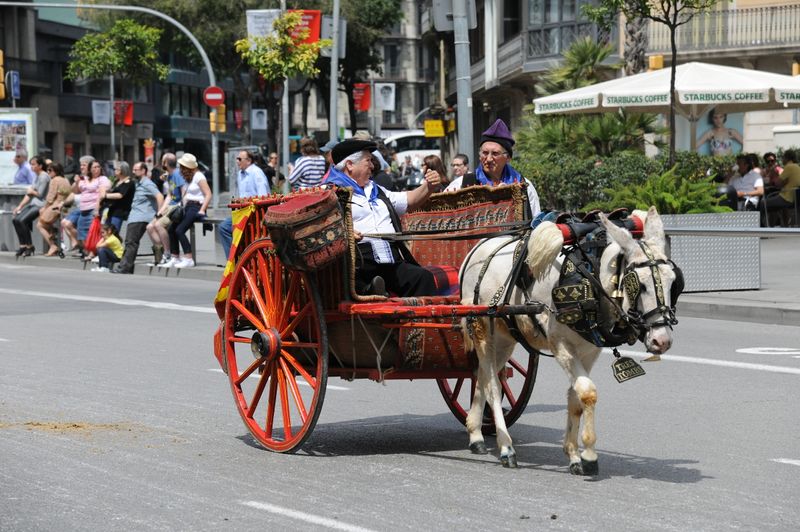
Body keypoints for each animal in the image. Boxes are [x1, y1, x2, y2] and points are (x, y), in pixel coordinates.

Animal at [460, 208, 680, 474]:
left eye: (673, 282)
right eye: (640, 284)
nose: (661, 340)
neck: (590, 279)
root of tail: (477, 248)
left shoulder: (589, 350)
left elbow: (575, 398)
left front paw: (574, 453)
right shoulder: (561, 346)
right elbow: (588, 392)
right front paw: (589, 454)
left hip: (505, 339)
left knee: (482, 377)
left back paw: (475, 434)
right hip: (482, 329)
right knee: (493, 384)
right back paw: (506, 447)